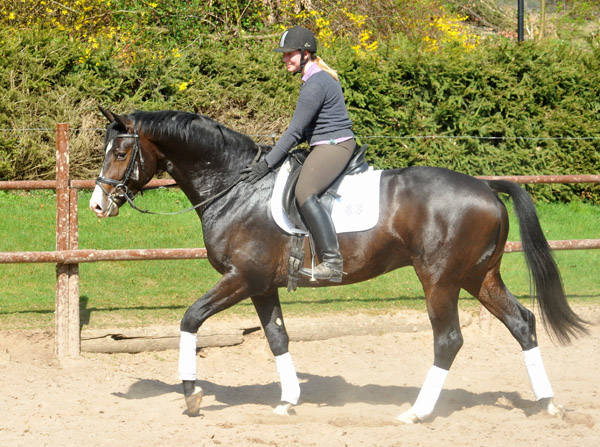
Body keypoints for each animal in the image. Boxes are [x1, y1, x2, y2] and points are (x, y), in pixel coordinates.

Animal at [90, 108, 584, 424]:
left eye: (121, 153)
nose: (97, 205)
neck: (236, 187)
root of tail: (485, 187)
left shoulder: (242, 278)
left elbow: (191, 319)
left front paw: (192, 396)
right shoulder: (262, 285)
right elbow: (277, 338)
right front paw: (288, 401)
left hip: (440, 279)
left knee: (448, 340)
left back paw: (417, 412)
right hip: (479, 277)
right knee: (522, 323)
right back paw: (548, 403)